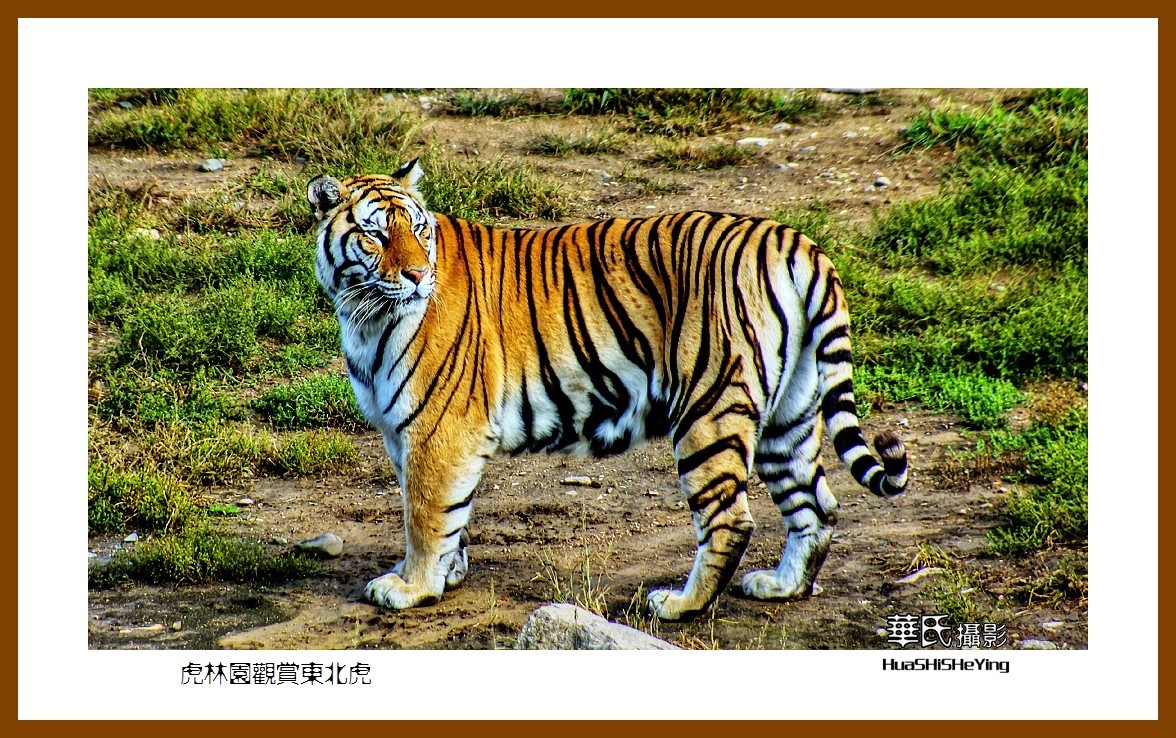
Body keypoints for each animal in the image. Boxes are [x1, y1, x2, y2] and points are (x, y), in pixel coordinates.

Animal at [305, 158, 908, 622]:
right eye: (376, 234)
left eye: (419, 230)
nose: (416, 276)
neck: (363, 315)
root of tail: (792, 238)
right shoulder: (405, 432)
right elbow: (448, 512)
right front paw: (447, 573)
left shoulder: (439, 430)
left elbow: (425, 514)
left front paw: (412, 587)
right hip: (790, 412)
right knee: (816, 506)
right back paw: (781, 586)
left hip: (708, 409)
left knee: (731, 520)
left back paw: (679, 604)